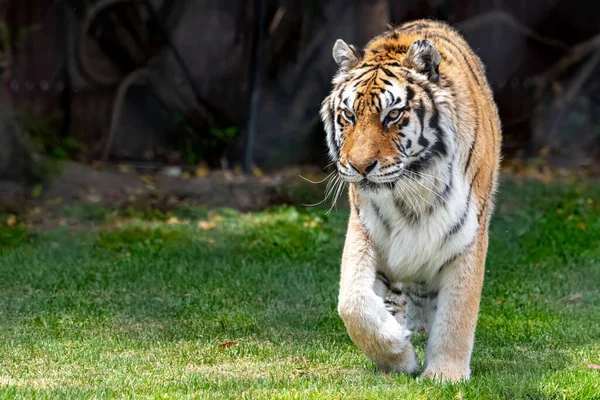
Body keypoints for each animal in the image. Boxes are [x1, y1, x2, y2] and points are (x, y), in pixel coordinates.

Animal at [318, 18, 502, 382]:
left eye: (392, 115)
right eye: (348, 115)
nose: (360, 166)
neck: (409, 191)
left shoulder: (468, 236)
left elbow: (458, 311)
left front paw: (446, 374)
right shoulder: (365, 230)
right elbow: (353, 303)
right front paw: (397, 353)